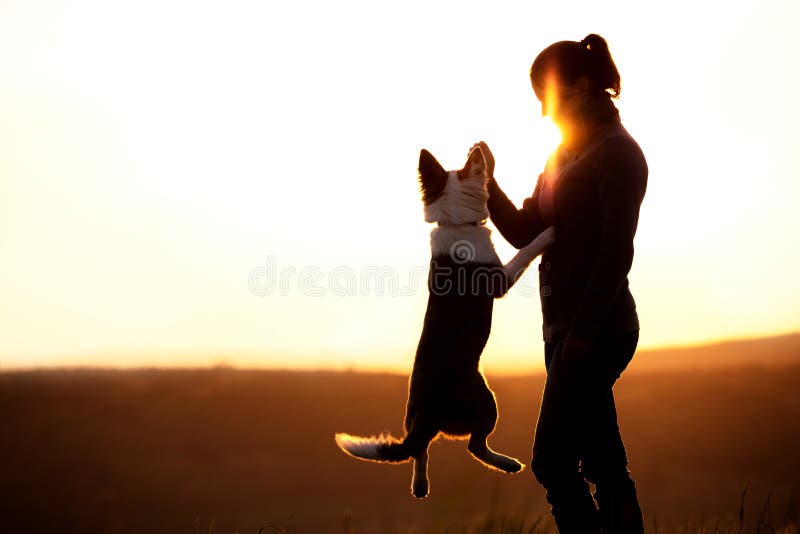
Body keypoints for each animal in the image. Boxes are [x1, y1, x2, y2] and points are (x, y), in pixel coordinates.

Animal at [334, 146, 552, 498]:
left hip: (416, 422)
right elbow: (525, 252)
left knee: (420, 449)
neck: (457, 221)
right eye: (465, 168)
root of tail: (426, 418)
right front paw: (549, 233)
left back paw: (420, 484)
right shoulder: (500, 279)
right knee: (474, 446)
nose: (477, 148)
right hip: (486, 401)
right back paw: (507, 464)